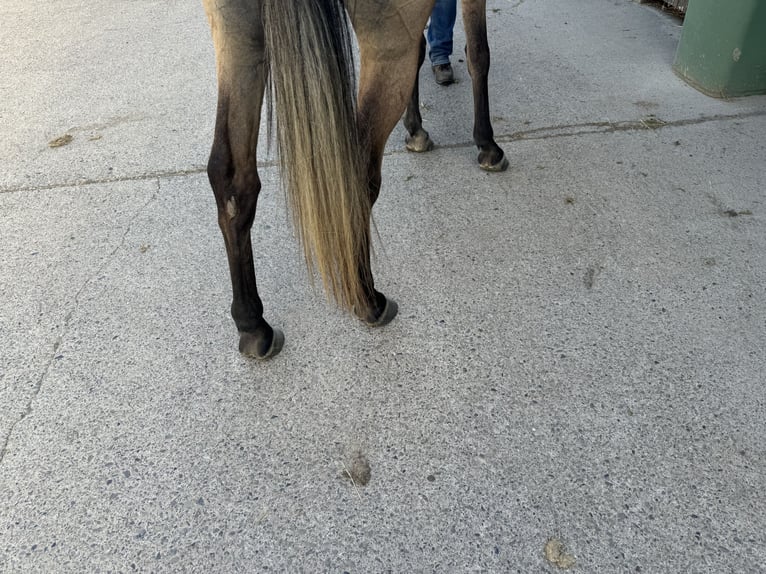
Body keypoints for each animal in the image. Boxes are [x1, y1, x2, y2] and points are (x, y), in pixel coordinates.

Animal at [202, 0, 510, 360]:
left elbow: (425, 50)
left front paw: (416, 130)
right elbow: (478, 54)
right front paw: (487, 145)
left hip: (236, 34)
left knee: (232, 180)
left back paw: (252, 326)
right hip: (388, 38)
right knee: (358, 174)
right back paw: (367, 300)